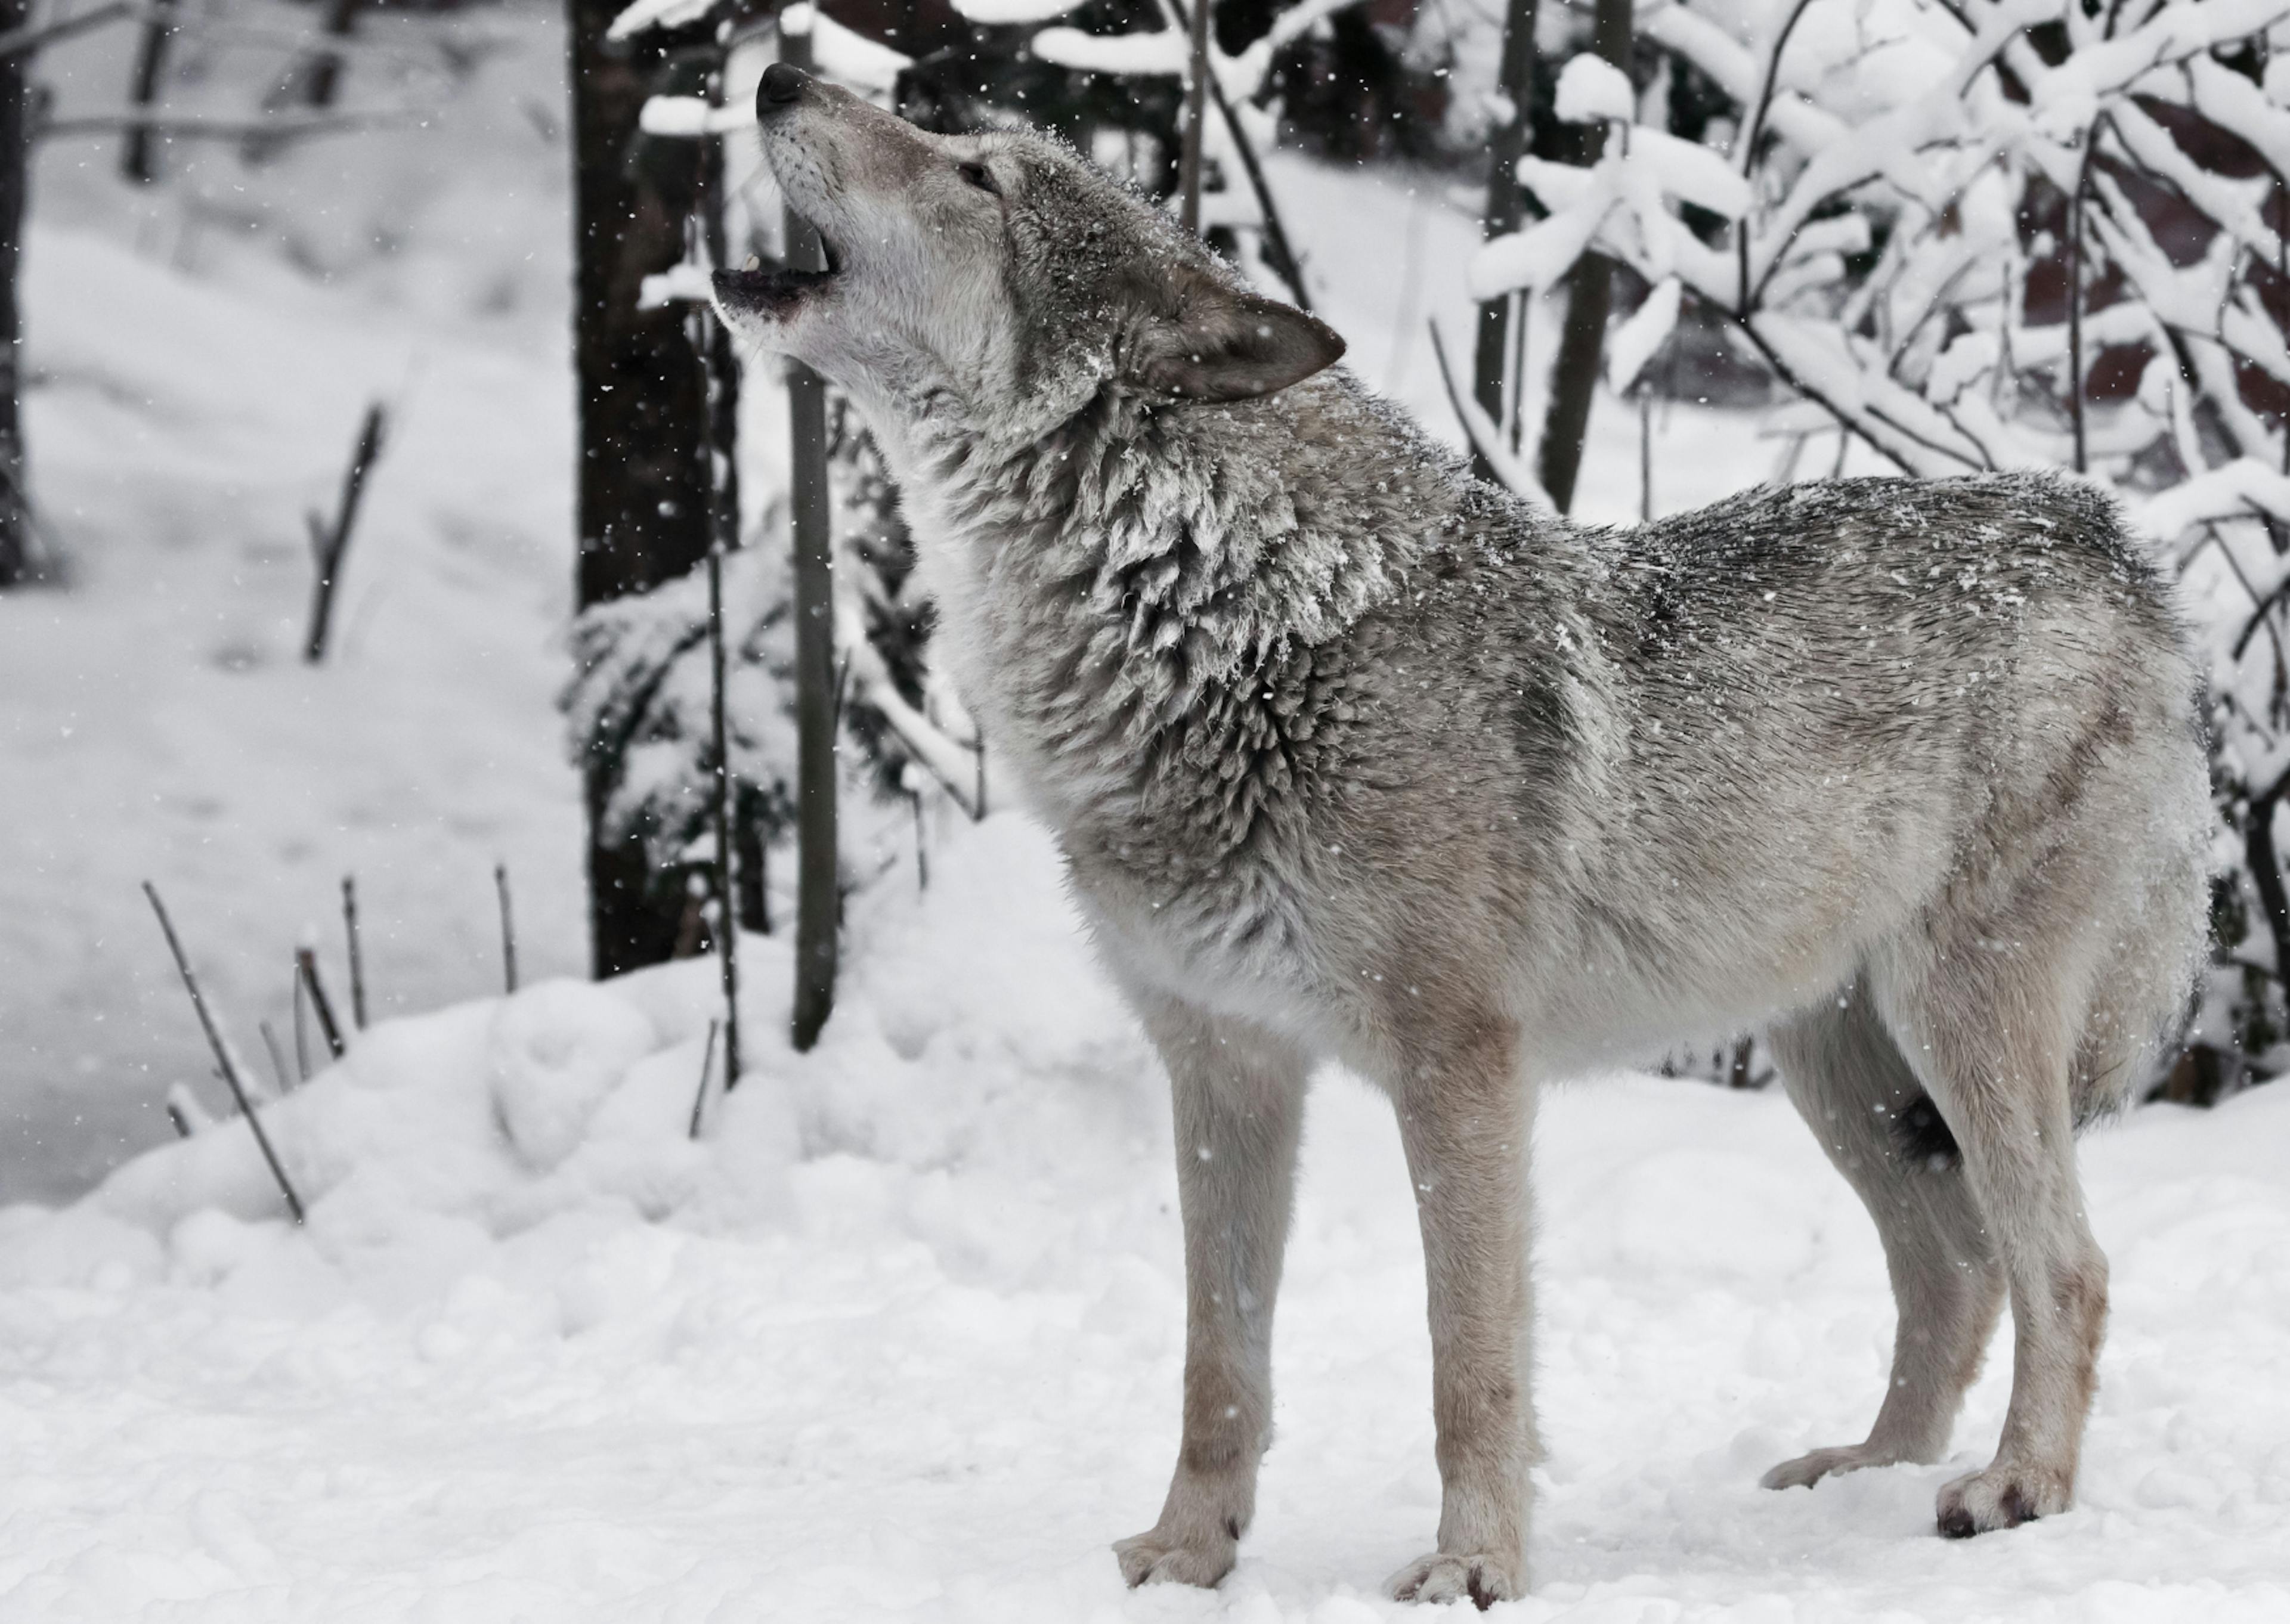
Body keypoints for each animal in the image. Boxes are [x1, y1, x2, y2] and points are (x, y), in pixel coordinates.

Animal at [719, 63, 2217, 1612]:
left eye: (976, 175)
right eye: (953, 144)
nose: (775, 72)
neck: (1221, 619)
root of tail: (2112, 542)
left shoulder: (1460, 1070)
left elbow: (1468, 1363)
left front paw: (1474, 1566)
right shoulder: (1222, 1069)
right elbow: (1217, 1367)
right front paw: (1188, 1558)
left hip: (1952, 1026)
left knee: (2064, 1266)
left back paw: (2016, 1489)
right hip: (1838, 1068)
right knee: (1953, 1274)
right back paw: (1865, 1474)